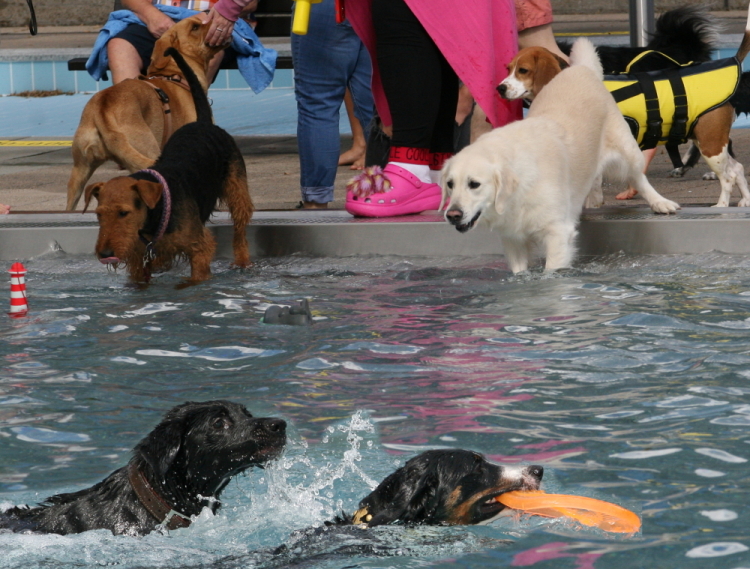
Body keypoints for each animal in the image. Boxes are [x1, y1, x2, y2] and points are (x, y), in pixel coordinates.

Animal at [67, 15, 226, 211]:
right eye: (195, 27)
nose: (221, 26)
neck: (176, 74)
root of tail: (103, 110)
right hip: (147, 153)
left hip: (79, 172)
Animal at [83, 46, 251, 284]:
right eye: (98, 214)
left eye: (124, 213)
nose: (105, 254)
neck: (157, 212)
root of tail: (202, 122)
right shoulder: (139, 259)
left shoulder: (199, 248)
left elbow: (196, 278)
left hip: (237, 189)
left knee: (240, 228)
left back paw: (242, 261)